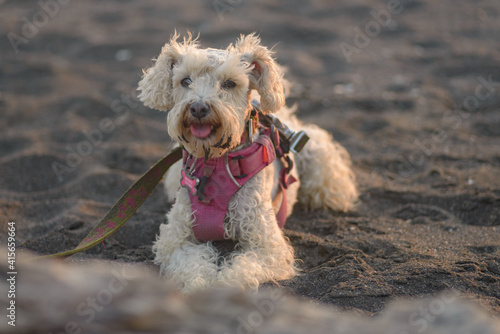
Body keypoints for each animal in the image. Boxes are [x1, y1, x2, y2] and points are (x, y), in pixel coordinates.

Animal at [137, 32, 358, 292]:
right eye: (185, 80)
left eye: (230, 83)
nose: (199, 107)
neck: (215, 164)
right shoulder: (175, 241)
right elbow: (192, 265)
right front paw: (200, 284)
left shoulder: (267, 246)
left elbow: (243, 269)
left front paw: (223, 286)